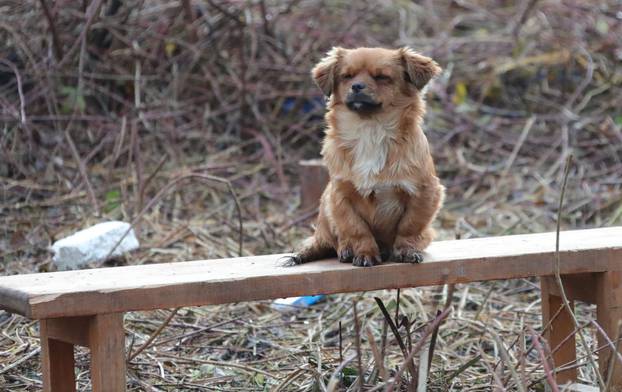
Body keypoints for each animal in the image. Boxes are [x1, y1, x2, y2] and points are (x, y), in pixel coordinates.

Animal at [290, 46, 446, 266]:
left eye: (381, 77)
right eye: (347, 76)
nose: (356, 86)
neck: (370, 129)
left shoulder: (425, 192)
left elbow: (409, 225)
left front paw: (406, 250)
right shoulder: (340, 195)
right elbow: (357, 229)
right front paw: (365, 253)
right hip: (326, 208)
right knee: (335, 240)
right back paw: (346, 250)